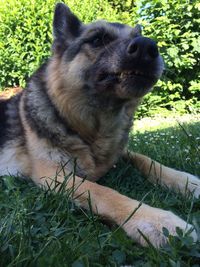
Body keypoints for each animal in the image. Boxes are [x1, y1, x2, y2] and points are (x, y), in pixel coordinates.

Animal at [0, 3, 200, 248]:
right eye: (97, 40)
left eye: (139, 37)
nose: (147, 46)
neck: (89, 128)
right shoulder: (54, 175)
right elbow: (103, 192)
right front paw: (156, 220)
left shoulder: (120, 153)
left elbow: (146, 159)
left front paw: (186, 182)